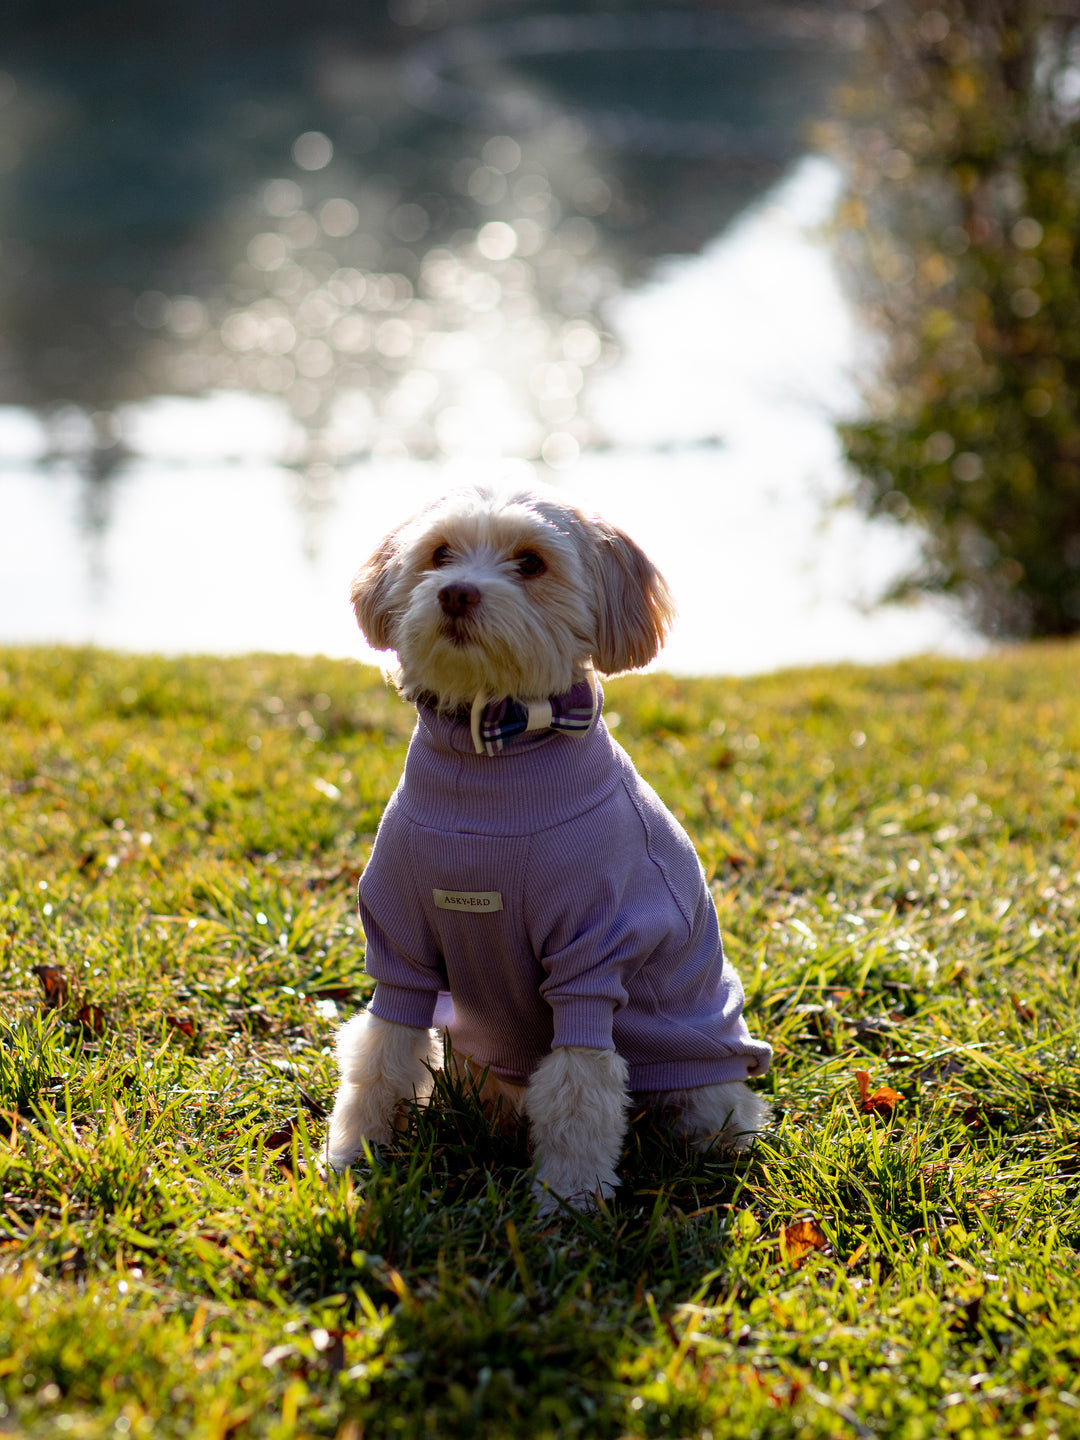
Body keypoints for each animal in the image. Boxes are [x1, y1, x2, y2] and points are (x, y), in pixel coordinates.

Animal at [325, 489, 771, 1209]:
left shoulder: (593, 958)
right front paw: (354, 1156)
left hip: (703, 1083)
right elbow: (380, 1058)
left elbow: (579, 1092)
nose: (455, 593)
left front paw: (569, 1202)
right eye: (439, 553)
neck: (492, 753)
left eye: (530, 563)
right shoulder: (399, 947)